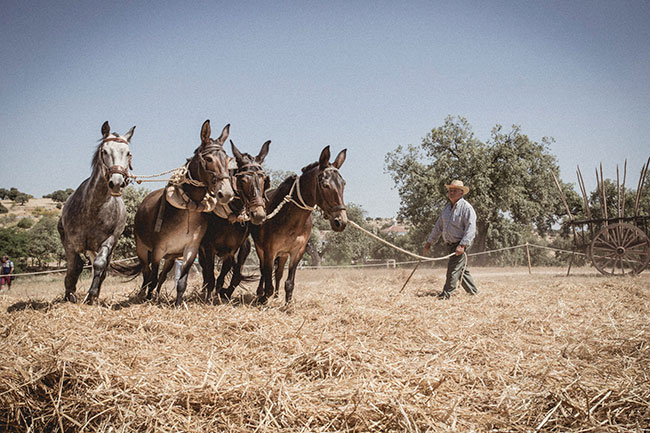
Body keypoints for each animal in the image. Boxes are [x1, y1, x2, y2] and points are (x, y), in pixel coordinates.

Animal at [58, 121, 134, 302]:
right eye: (104, 151)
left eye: (128, 153)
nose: (117, 183)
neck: (93, 209)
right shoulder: (70, 243)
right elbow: (73, 267)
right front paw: (69, 294)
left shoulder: (108, 241)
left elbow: (100, 265)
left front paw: (92, 295)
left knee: (102, 268)